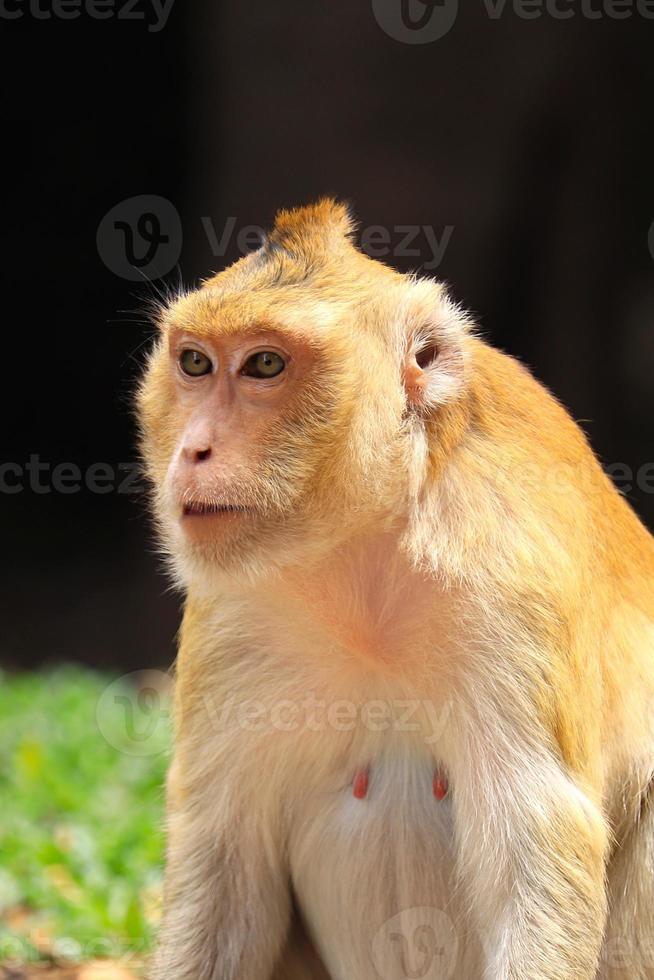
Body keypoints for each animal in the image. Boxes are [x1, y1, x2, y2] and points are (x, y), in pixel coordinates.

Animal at [138, 199, 654, 980]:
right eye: (194, 362)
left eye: (264, 365)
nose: (192, 449)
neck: (367, 557)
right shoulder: (233, 614)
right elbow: (226, 866)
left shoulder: (514, 590)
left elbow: (535, 857)